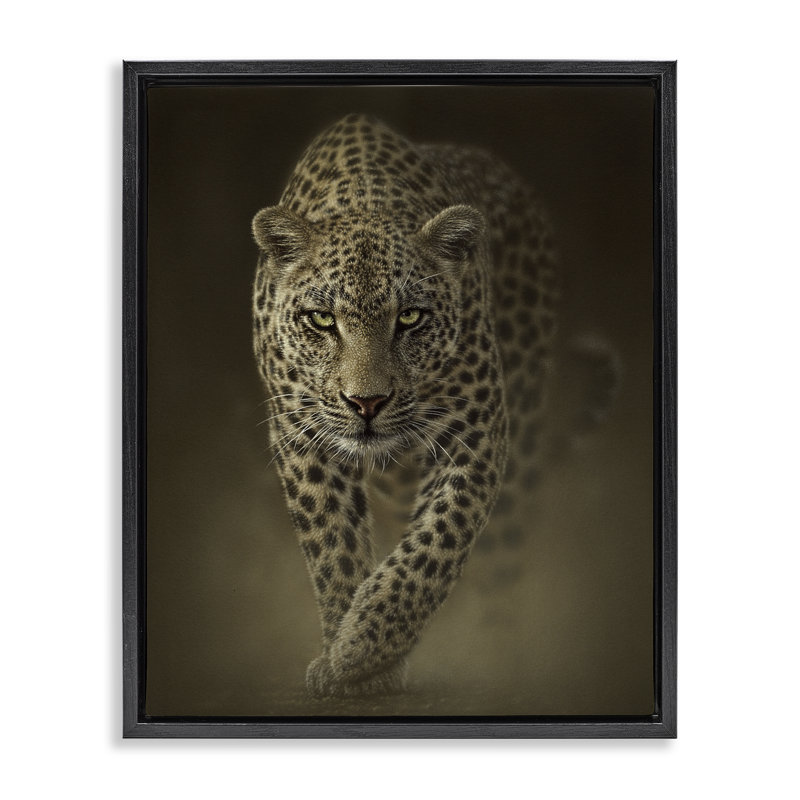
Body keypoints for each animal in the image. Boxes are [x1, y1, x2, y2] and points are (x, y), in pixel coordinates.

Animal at [251, 113, 560, 698]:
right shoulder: (299, 433)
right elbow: (332, 543)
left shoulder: (476, 429)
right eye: (322, 320)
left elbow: (437, 543)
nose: (366, 403)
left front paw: (364, 648)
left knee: (505, 547)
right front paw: (349, 659)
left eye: (411, 317)